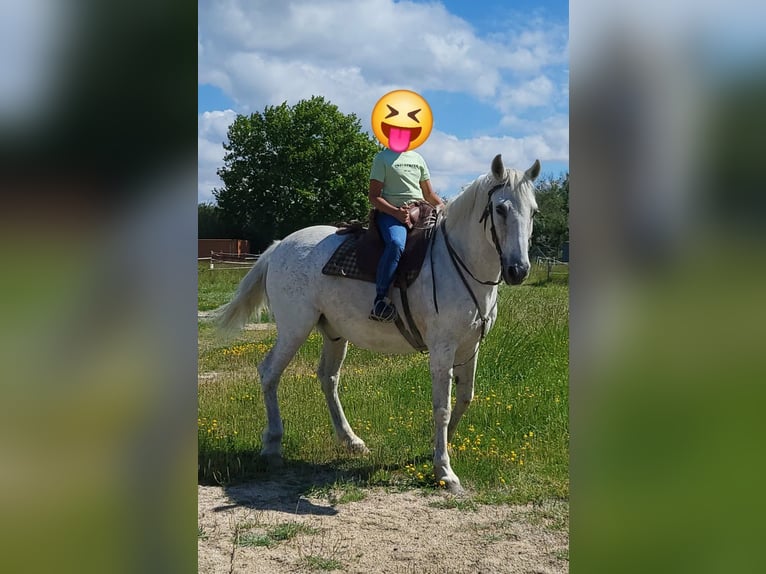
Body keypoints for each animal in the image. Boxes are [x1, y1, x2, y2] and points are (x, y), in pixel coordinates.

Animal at [216, 154, 540, 493]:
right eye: (501, 209)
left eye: (534, 211)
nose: (518, 270)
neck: (459, 260)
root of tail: (280, 246)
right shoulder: (443, 349)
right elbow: (442, 408)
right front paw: (444, 470)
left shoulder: (470, 346)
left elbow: (465, 397)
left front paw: (435, 451)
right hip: (294, 329)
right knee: (269, 373)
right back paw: (272, 445)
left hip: (334, 334)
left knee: (328, 378)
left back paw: (351, 441)